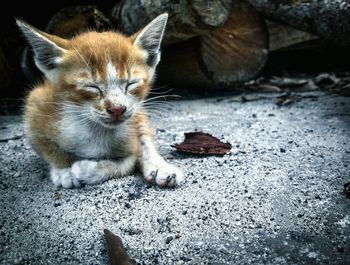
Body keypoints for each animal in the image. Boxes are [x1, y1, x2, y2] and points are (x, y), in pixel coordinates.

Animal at [17, 13, 183, 188]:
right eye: (92, 87)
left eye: (131, 84)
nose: (117, 109)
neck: (96, 130)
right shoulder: (35, 106)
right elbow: (48, 147)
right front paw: (64, 169)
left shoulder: (132, 133)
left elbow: (129, 161)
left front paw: (89, 169)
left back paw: (159, 166)